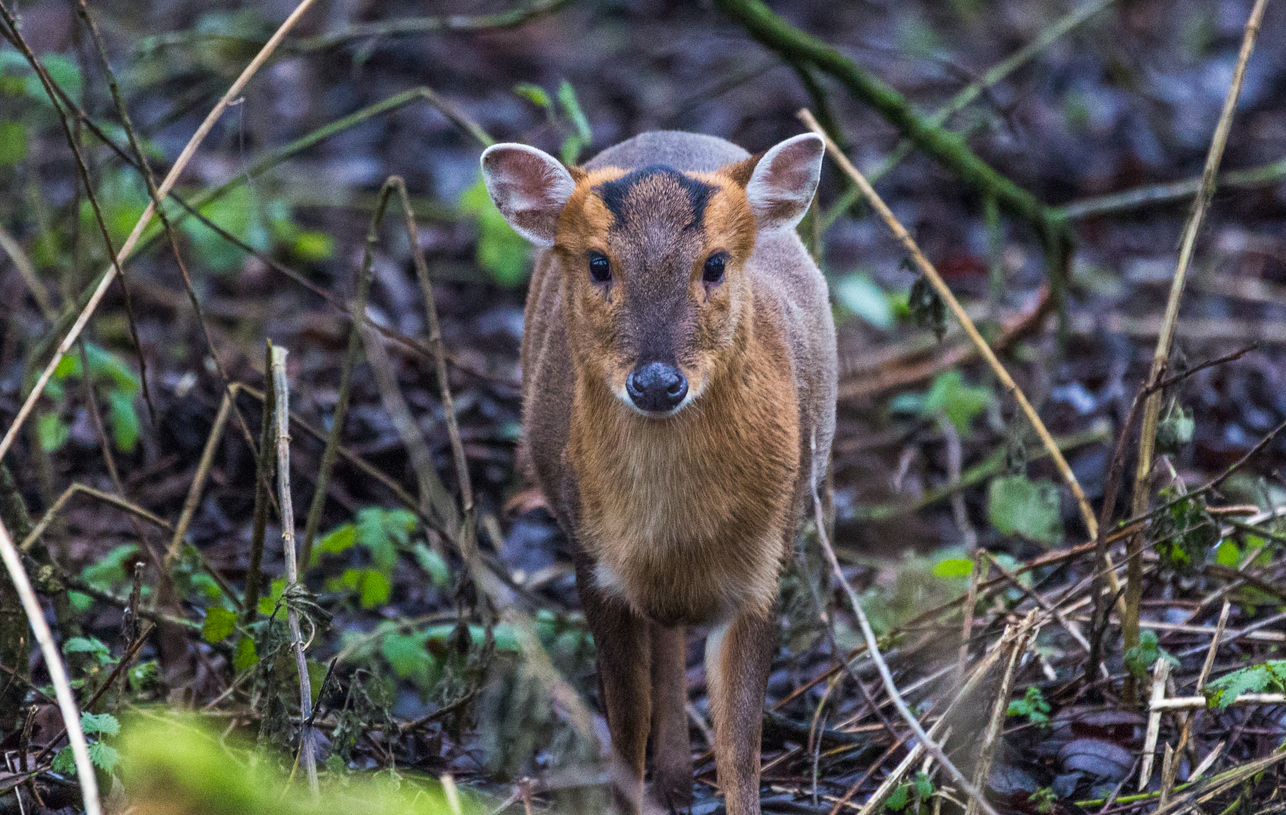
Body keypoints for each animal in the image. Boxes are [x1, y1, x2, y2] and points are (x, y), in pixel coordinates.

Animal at [481, 130, 837, 815]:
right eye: (598, 264)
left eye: (716, 263)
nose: (655, 382)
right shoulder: (594, 564)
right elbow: (626, 724)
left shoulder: (764, 569)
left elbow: (740, 749)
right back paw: (672, 784)